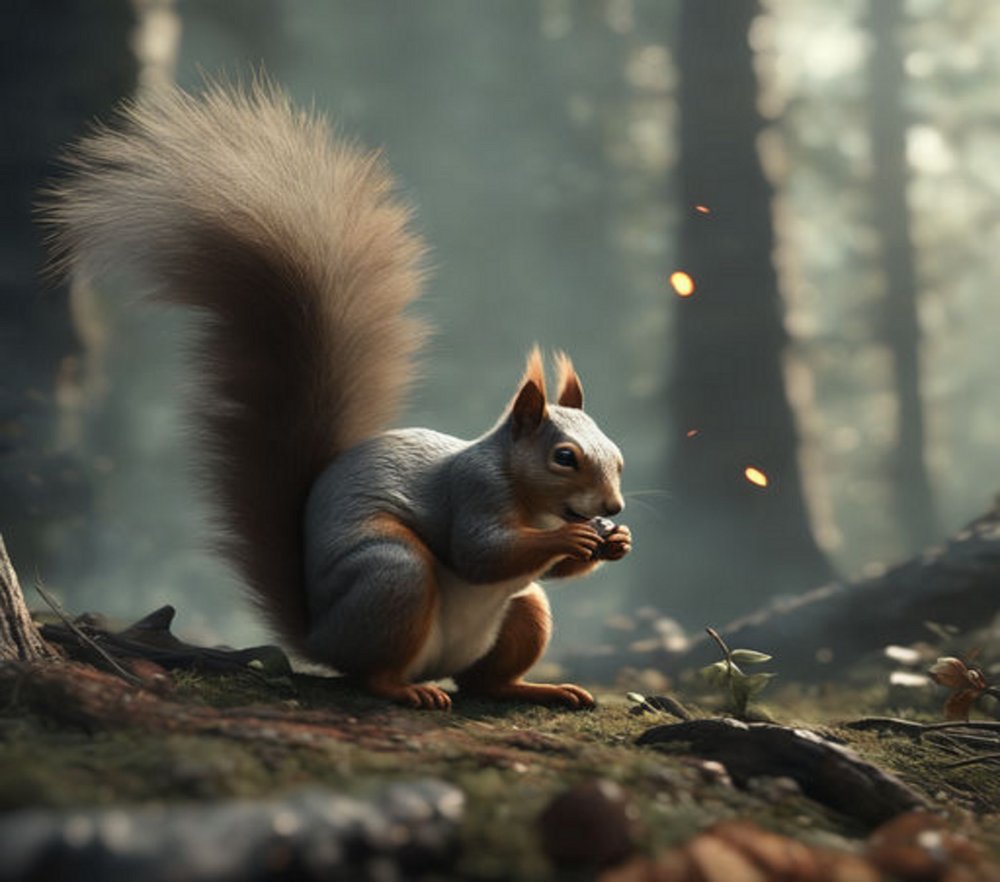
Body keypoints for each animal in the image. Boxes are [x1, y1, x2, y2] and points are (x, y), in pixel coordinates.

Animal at [43, 81, 632, 710]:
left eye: (618, 459)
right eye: (564, 457)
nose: (615, 508)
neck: (532, 501)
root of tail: (319, 636)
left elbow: (549, 574)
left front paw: (615, 543)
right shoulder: (474, 492)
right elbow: (481, 552)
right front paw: (575, 536)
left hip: (522, 613)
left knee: (487, 678)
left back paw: (539, 688)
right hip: (392, 575)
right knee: (373, 670)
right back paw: (406, 690)